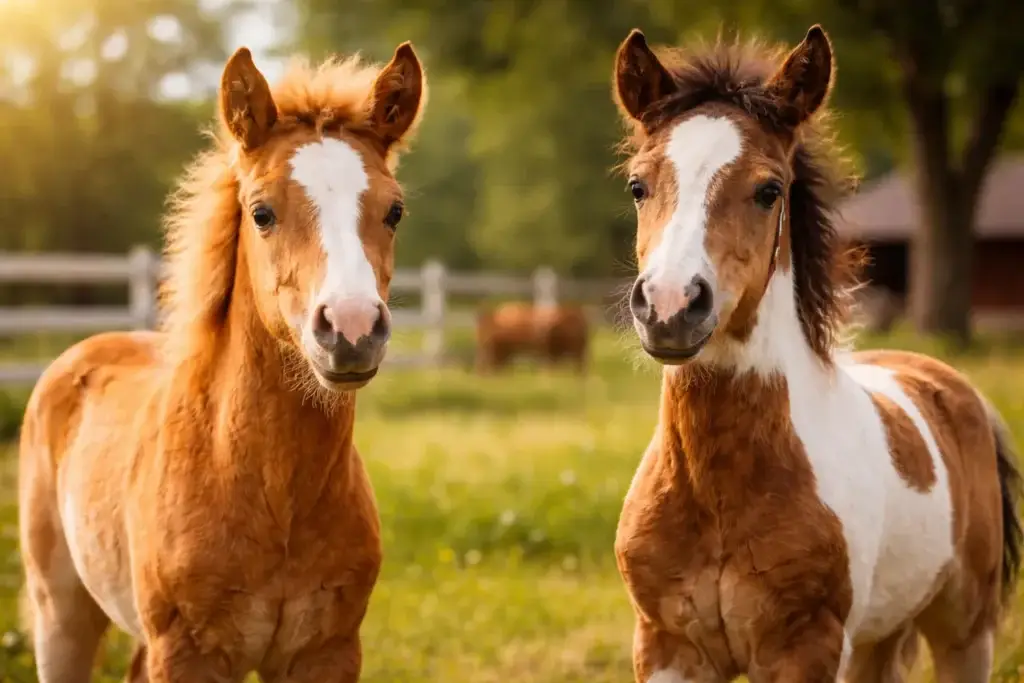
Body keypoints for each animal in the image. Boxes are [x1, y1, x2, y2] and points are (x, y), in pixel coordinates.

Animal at [18, 41, 425, 683]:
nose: (352, 329)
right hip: (61, 614)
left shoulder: (326, 652)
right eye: (261, 213)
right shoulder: (189, 655)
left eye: (395, 211)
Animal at [611, 24, 1022, 683]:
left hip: (964, 631)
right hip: (879, 639)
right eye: (637, 185)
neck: (720, 488)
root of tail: (953, 388)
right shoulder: (666, 648)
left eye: (768, 190)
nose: (671, 305)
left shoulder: (806, 648)